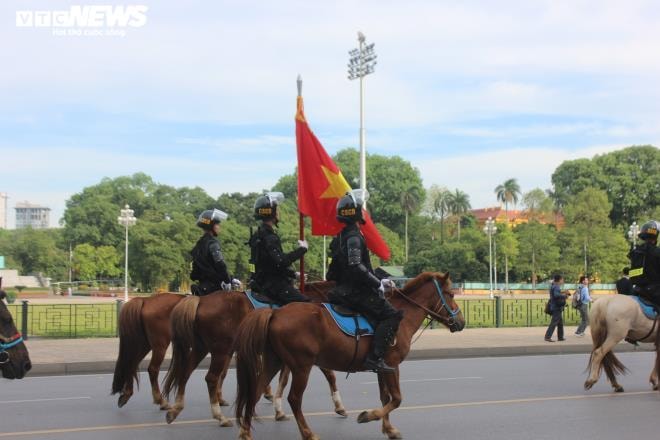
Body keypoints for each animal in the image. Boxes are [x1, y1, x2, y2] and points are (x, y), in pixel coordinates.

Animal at [162, 282, 346, 426]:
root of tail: (201, 300)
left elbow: (283, 380)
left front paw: (278, 409)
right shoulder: (306, 355)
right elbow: (329, 375)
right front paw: (339, 406)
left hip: (202, 347)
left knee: (186, 372)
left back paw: (176, 409)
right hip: (221, 350)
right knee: (212, 378)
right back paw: (220, 416)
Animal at [235, 272, 466, 440]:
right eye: (451, 294)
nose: (461, 322)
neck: (402, 316)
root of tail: (276, 313)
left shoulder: (381, 367)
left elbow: (385, 397)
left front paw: (388, 428)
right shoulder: (392, 364)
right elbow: (397, 398)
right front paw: (369, 416)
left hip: (274, 361)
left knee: (255, 391)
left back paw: (246, 432)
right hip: (301, 366)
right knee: (294, 398)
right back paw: (308, 433)